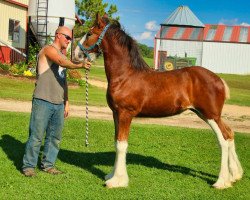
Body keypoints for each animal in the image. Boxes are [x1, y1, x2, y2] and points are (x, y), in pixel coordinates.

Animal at [73, 14, 242, 189]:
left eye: (89, 33)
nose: (76, 54)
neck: (125, 76)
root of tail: (219, 79)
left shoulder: (125, 114)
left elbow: (121, 145)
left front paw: (117, 181)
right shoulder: (116, 114)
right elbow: (116, 142)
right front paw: (111, 175)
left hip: (210, 115)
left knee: (223, 140)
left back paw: (221, 181)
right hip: (205, 114)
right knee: (229, 134)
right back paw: (235, 175)